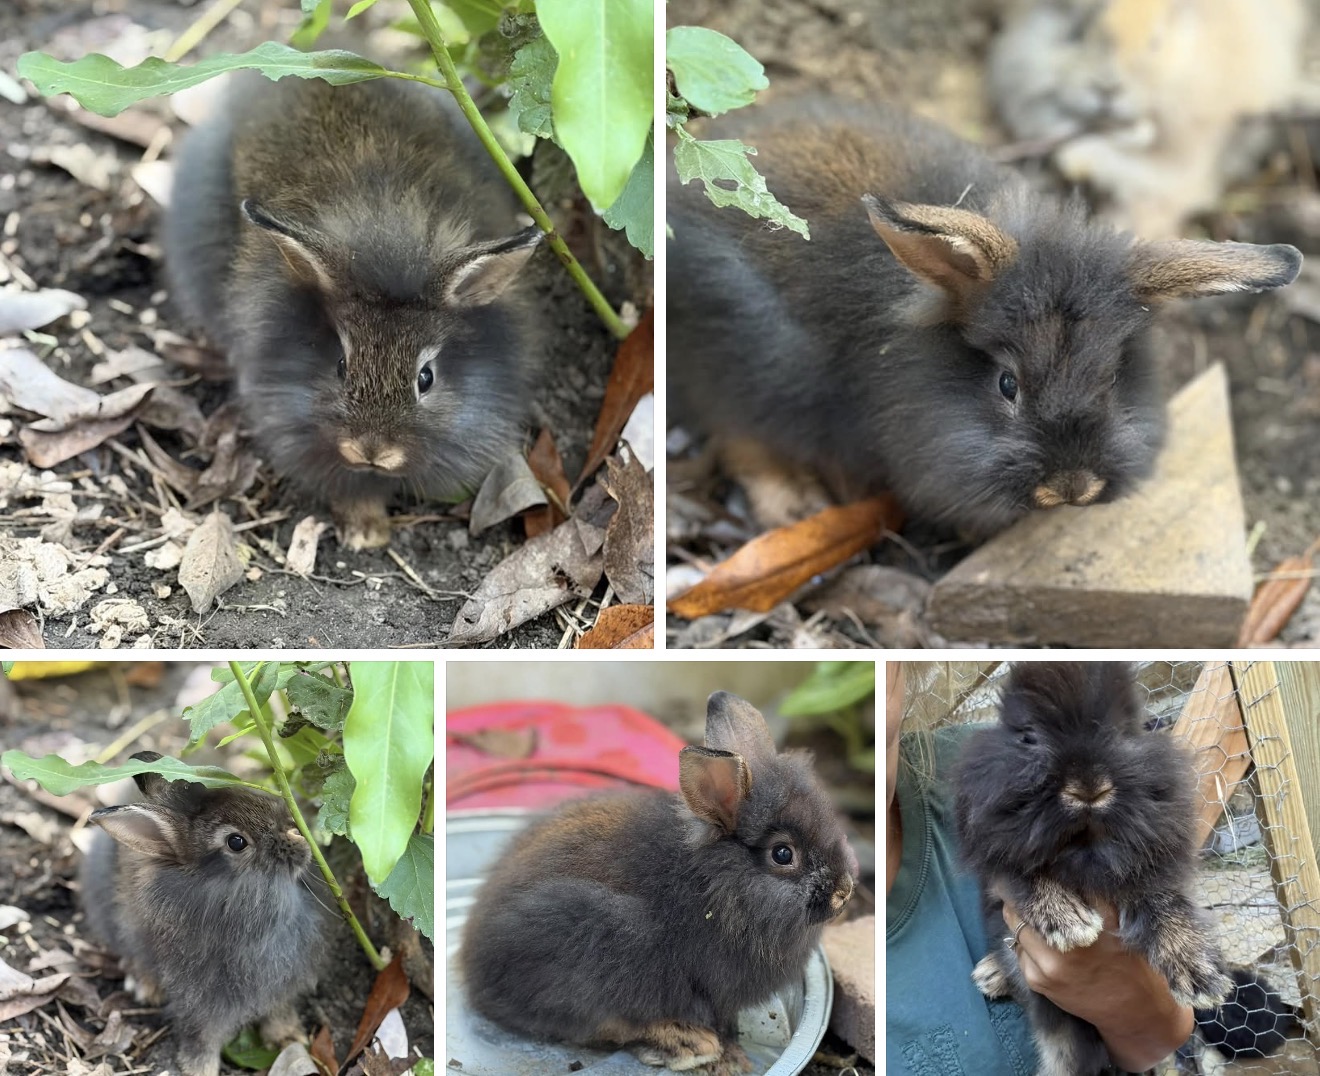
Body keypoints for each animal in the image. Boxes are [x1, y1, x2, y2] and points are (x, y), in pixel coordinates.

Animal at [79, 750, 330, 1076]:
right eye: (236, 842)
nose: (298, 836)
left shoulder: (281, 982)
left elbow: (278, 1011)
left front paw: (289, 1037)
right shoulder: (200, 998)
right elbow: (202, 1036)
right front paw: (200, 1069)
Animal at [458, 692, 858, 1075]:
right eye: (783, 854)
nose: (844, 892)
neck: (717, 885)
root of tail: (475, 973)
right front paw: (729, 1056)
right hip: (596, 944)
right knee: (608, 1024)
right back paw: (690, 1045)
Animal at [666, 98, 1301, 536]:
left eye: (1113, 381)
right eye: (1006, 385)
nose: (1072, 486)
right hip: (744, 364)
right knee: (741, 437)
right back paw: (797, 506)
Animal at [952, 663, 1232, 1076]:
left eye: (1124, 732)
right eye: (1029, 737)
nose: (1088, 787)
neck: (1084, 850)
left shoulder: (1151, 864)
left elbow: (1164, 901)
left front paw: (1199, 975)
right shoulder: (1000, 863)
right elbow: (1025, 875)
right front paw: (1069, 922)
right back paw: (991, 973)